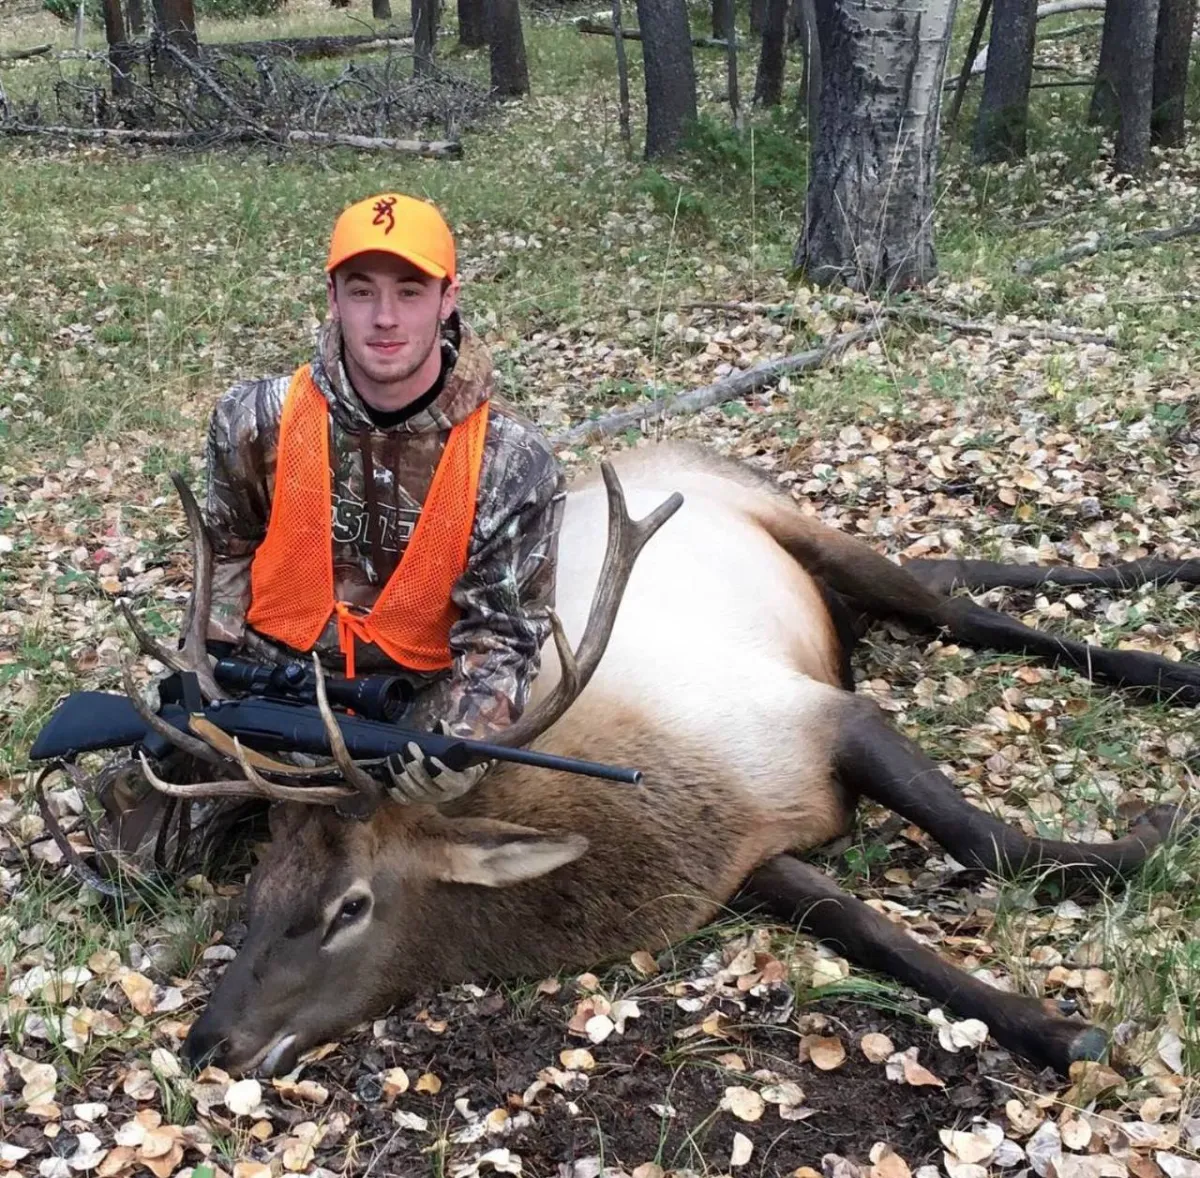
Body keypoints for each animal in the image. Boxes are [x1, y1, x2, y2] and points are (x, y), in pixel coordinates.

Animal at [93, 441, 1200, 1080]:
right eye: (258, 891)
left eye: (348, 905)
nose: (207, 1042)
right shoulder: (754, 858)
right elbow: (879, 936)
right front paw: (1046, 1026)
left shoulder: (817, 715)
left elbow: (988, 838)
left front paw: (1153, 831)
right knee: (942, 577)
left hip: (796, 523)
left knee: (956, 601)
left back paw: (1167, 637)